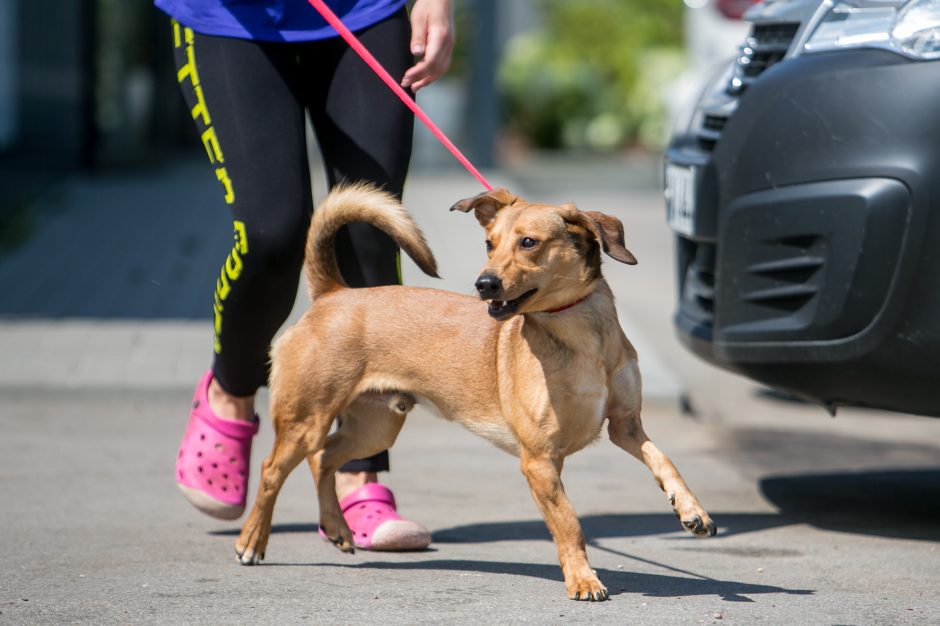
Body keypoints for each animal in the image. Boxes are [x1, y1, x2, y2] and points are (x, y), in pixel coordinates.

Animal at [235, 184, 712, 600]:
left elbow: (664, 461)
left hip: (373, 428)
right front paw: (582, 579)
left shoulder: (625, 427)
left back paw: (335, 528)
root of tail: (333, 295)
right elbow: (569, 522)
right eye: (489, 243)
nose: (484, 284)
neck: (579, 334)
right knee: (272, 470)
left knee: (325, 459)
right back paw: (251, 541)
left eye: (528, 243)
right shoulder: (539, 462)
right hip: (306, 419)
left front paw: (691, 510)